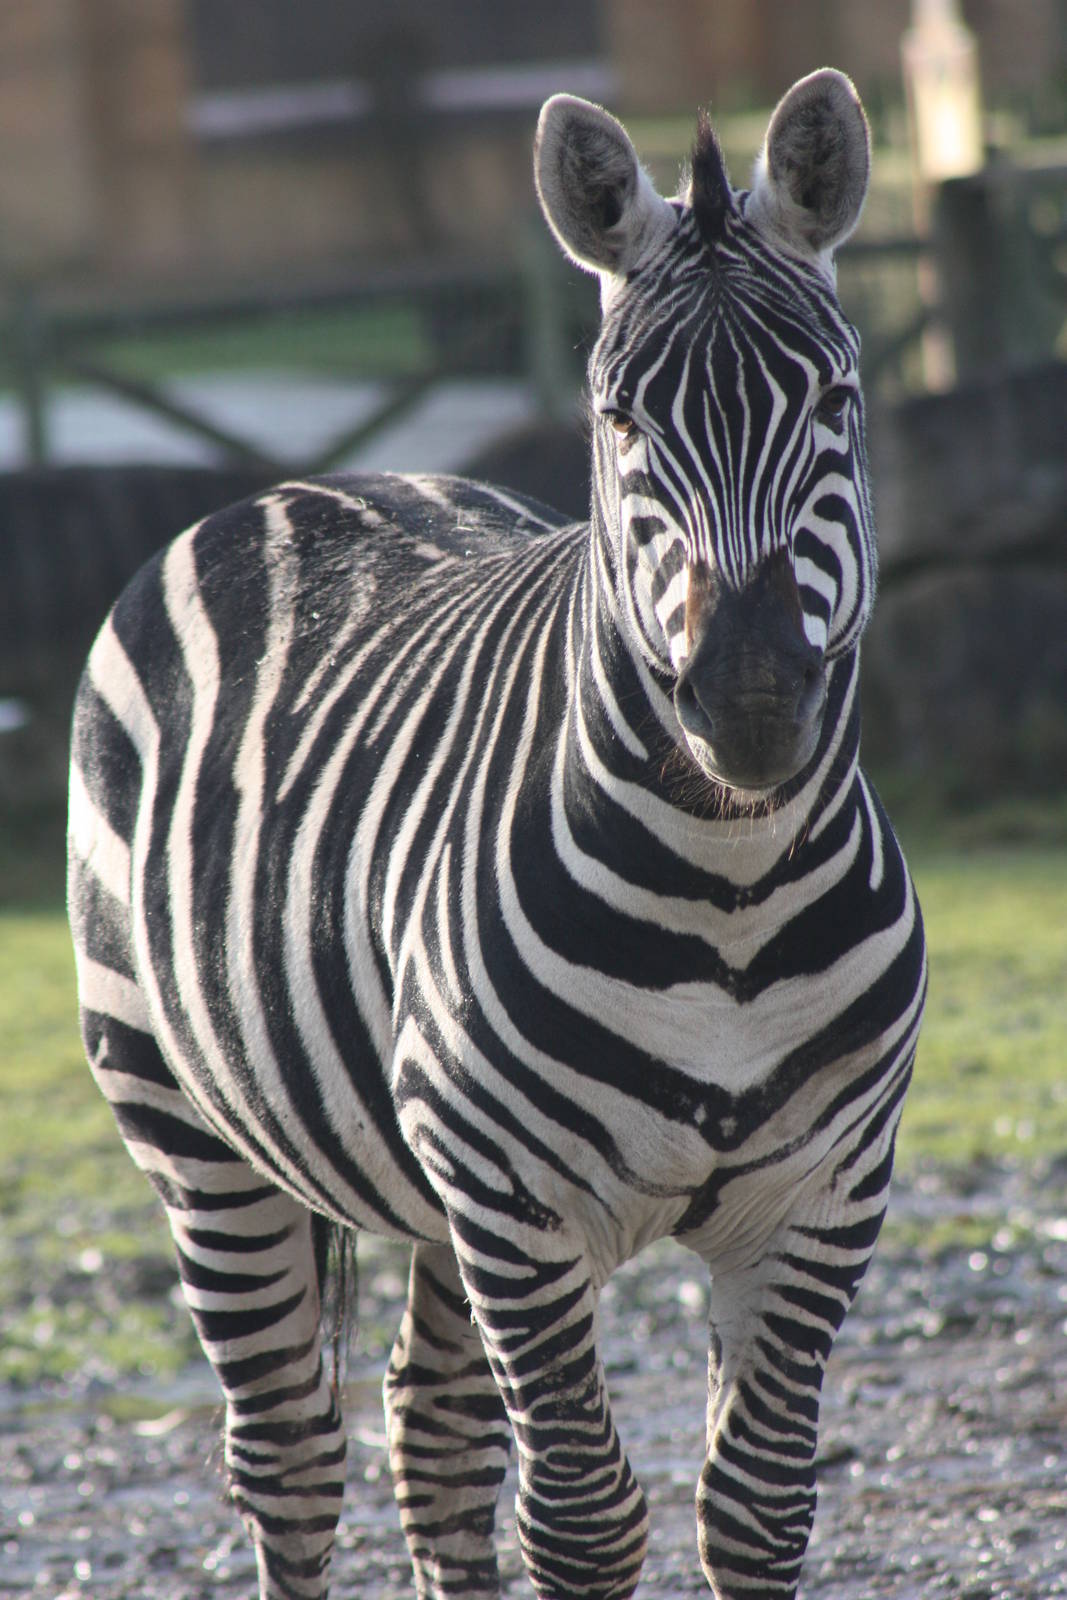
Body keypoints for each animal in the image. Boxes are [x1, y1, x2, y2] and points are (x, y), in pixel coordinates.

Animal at [67, 69, 926, 1600]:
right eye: (619, 418)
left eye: (833, 397)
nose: (750, 698)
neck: (729, 895)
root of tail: (304, 484)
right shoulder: (518, 1206)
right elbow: (580, 1520)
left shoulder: (822, 1199)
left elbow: (755, 1507)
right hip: (187, 1124)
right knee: (290, 1453)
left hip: (426, 1190)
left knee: (434, 1437)